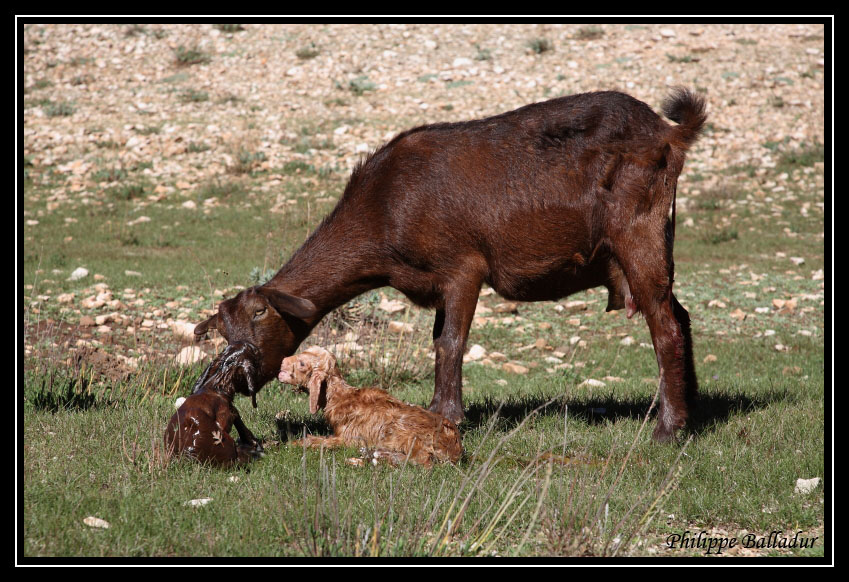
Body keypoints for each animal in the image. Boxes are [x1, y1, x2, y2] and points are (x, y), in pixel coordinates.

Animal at [195, 89, 704, 442]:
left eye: (260, 314)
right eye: (222, 330)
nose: (233, 373)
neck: (385, 207)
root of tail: (668, 133)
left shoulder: (464, 268)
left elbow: (451, 343)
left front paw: (449, 416)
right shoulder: (435, 283)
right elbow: (439, 341)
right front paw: (437, 409)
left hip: (638, 233)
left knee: (664, 326)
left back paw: (668, 429)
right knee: (680, 316)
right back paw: (692, 410)